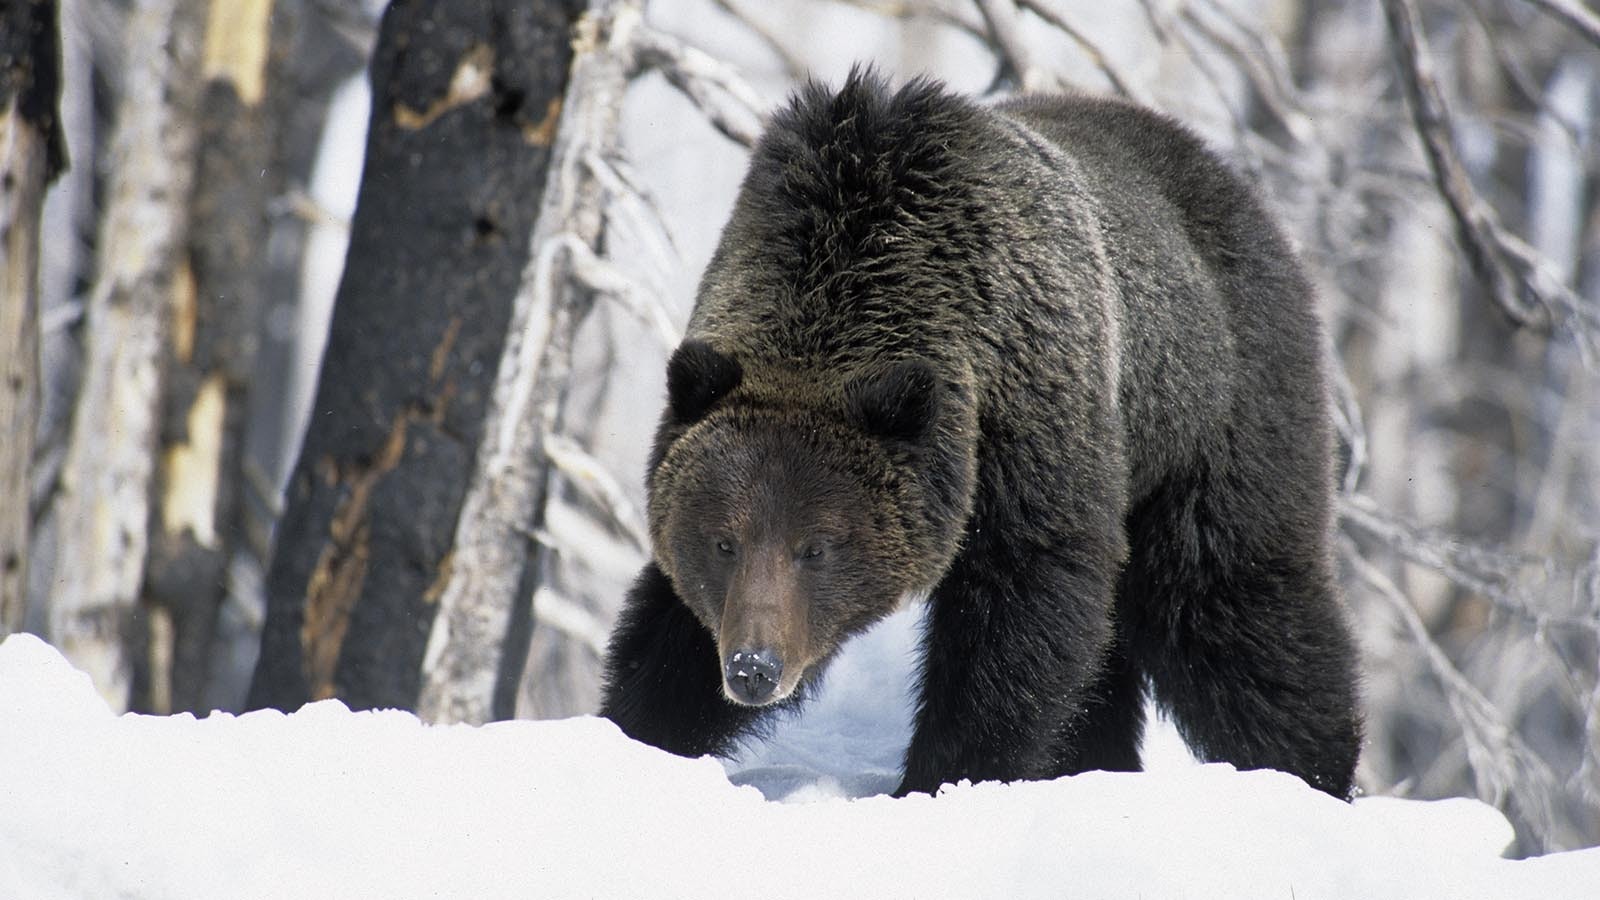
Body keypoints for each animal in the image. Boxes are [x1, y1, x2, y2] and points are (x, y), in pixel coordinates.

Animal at [599, 67, 1362, 800]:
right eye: (722, 541)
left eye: (817, 546)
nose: (754, 667)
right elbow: (668, 634)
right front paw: (641, 735)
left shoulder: (1030, 436)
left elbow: (1016, 627)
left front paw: (949, 774)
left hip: (1210, 422)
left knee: (1232, 611)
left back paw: (1311, 769)